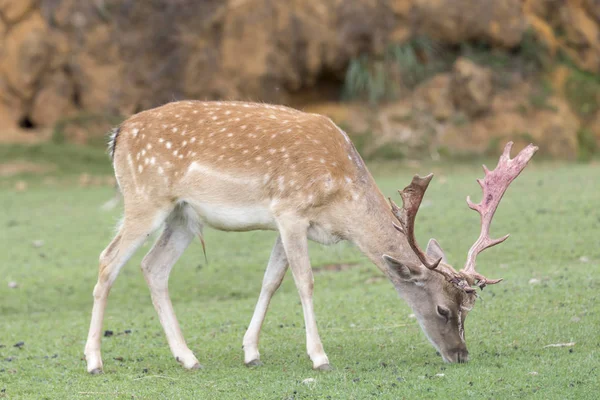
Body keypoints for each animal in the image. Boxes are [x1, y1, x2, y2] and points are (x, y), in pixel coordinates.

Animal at [82, 98, 536, 374]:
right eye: (443, 309)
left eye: (467, 311)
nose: (460, 355)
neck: (341, 202)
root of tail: (117, 135)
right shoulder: (290, 211)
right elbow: (305, 281)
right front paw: (319, 357)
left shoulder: (287, 223)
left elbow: (271, 280)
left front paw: (251, 352)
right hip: (145, 199)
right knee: (106, 261)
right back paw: (94, 361)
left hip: (183, 217)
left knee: (152, 267)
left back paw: (188, 357)